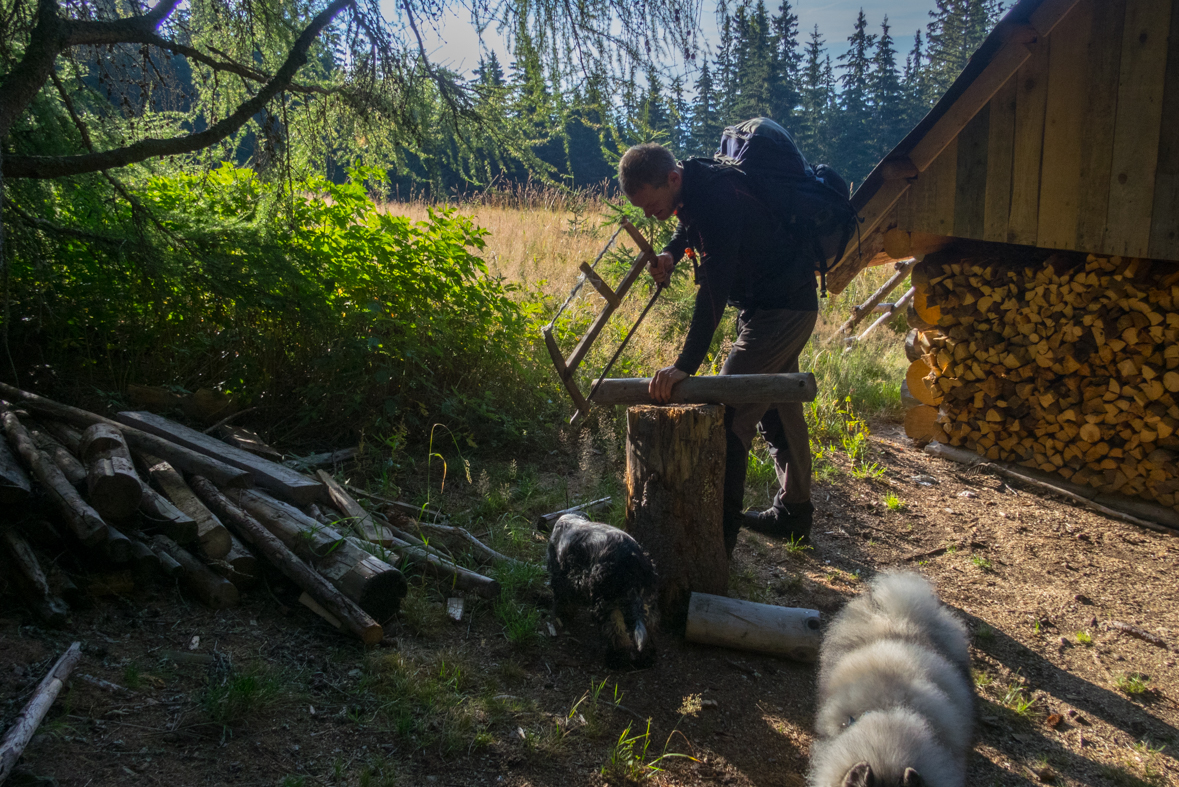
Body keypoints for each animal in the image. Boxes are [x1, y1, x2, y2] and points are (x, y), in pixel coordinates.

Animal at [544, 513, 660, 669]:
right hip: (646, 599)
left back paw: (616, 659)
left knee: (615, 631)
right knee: (649, 627)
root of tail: (632, 560)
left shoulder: (562, 576)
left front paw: (562, 615)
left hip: (605, 601)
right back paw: (647, 658)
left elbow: (563, 599)